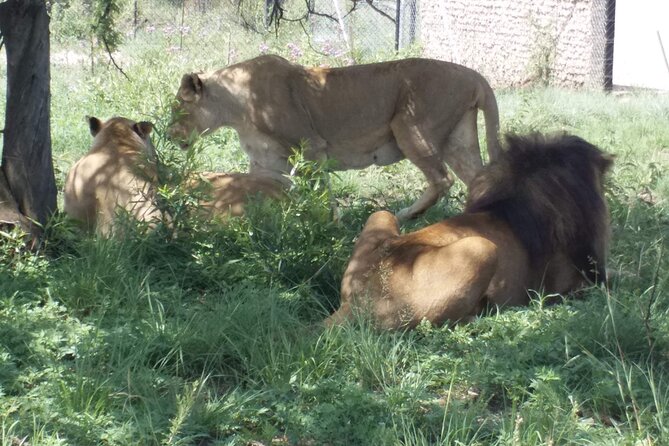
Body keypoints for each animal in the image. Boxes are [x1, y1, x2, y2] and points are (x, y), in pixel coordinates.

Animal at [170, 54, 498, 220]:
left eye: (178, 107)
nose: (170, 135)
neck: (235, 110)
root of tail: (475, 76)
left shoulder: (311, 147)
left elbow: (322, 192)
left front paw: (329, 225)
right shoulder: (265, 162)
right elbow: (266, 190)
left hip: (410, 126)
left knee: (443, 180)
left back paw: (404, 215)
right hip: (459, 140)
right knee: (479, 179)